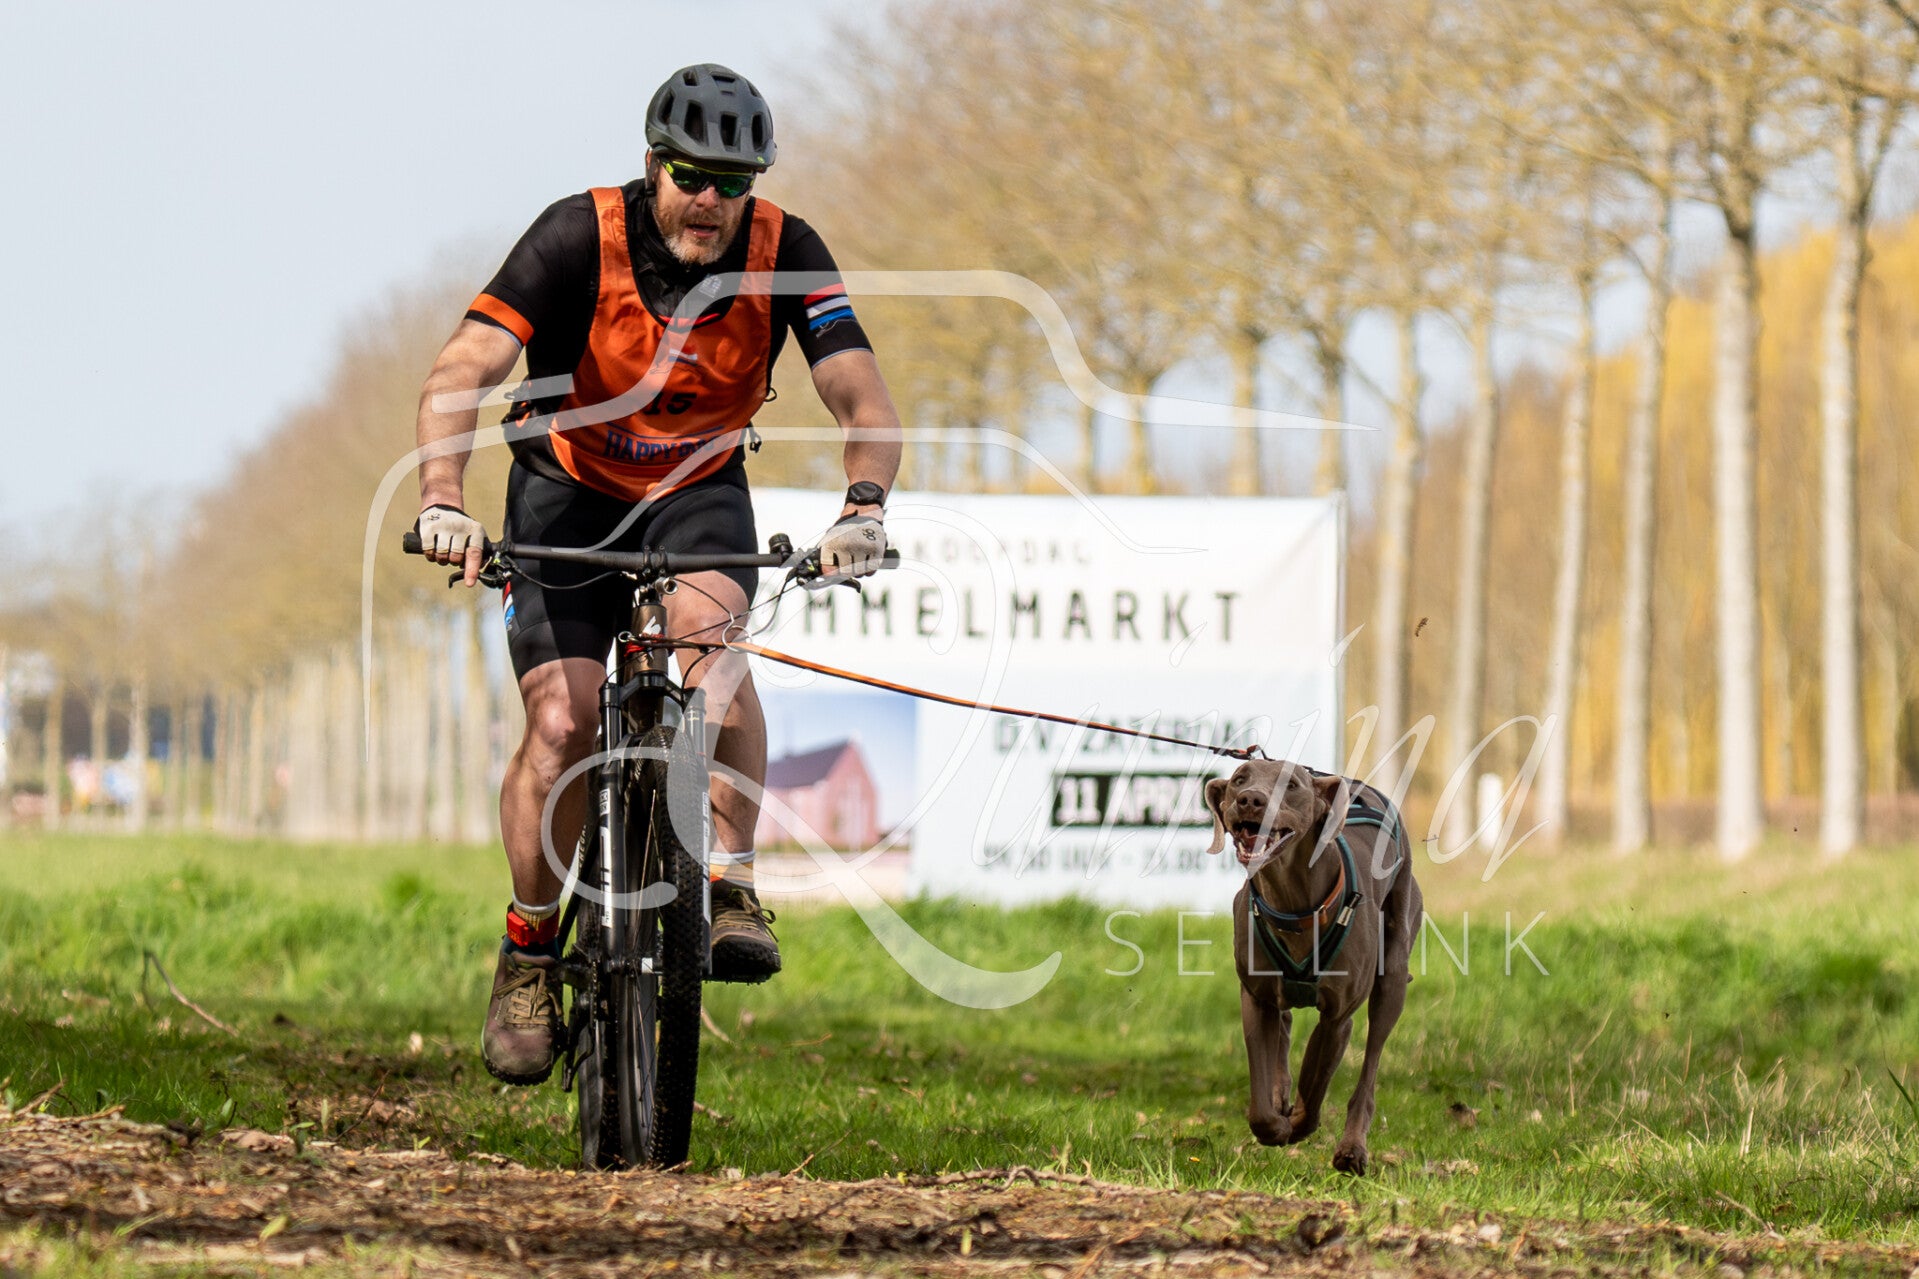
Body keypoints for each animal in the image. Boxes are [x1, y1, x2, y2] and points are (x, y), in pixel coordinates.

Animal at [1204, 759, 1421, 1175]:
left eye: (1291, 785)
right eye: (1239, 778)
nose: (1250, 800)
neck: (1291, 902)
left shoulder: (1337, 1018)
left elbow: (1314, 1086)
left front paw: (1298, 1126)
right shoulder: (1255, 999)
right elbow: (1261, 1101)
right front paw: (1274, 1124)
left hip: (1393, 974)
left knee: (1370, 1066)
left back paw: (1352, 1148)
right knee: (1284, 1024)